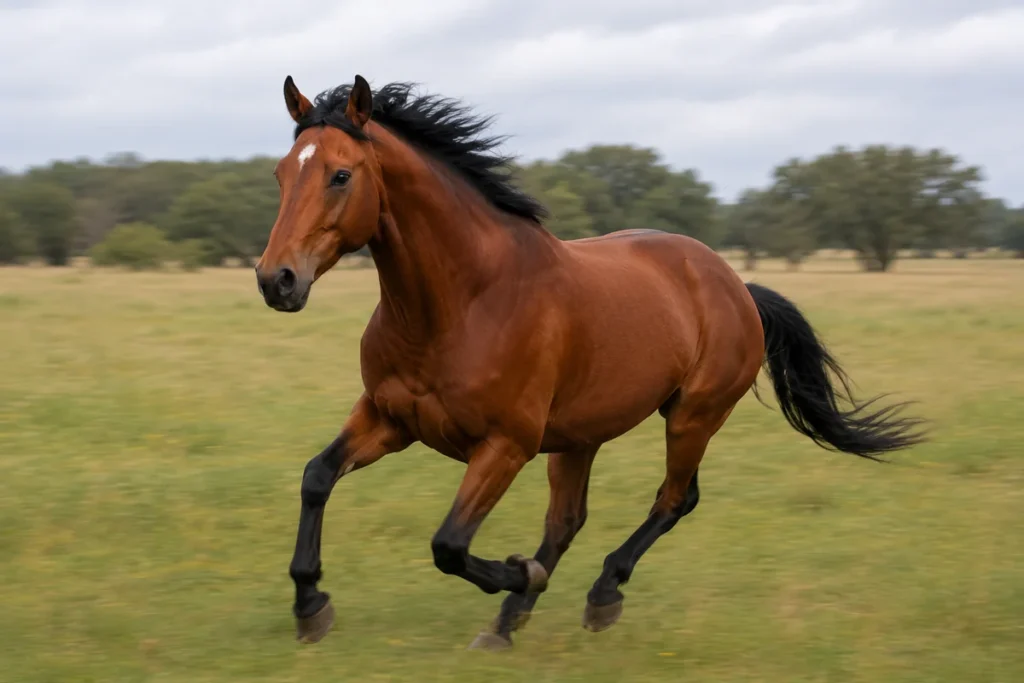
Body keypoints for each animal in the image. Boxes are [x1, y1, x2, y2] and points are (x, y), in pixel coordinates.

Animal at [254, 74, 926, 650]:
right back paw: (508, 622)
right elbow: (317, 477)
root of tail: (736, 284)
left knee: (673, 500)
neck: (462, 303)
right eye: (282, 175)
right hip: (580, 436)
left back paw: (596, 595)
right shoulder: (389, 419)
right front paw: (310, 605)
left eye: (341, 175)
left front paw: (520, 572)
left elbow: (448, 544)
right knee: (569, 520)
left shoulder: (506, 445)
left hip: (691, 417)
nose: (276, 281)